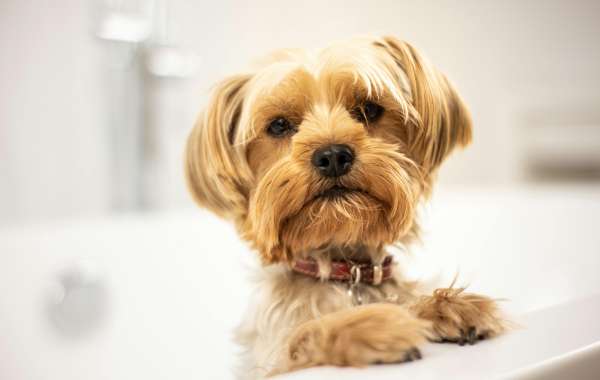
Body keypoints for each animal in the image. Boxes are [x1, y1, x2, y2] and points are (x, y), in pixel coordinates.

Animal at [185, 35, 504, 378]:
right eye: (279, 125)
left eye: (369, 109)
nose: (333, 155)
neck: (346, 273)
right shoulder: (272, 360)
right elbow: (305, 335)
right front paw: (372, 327)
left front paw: (446, 307)